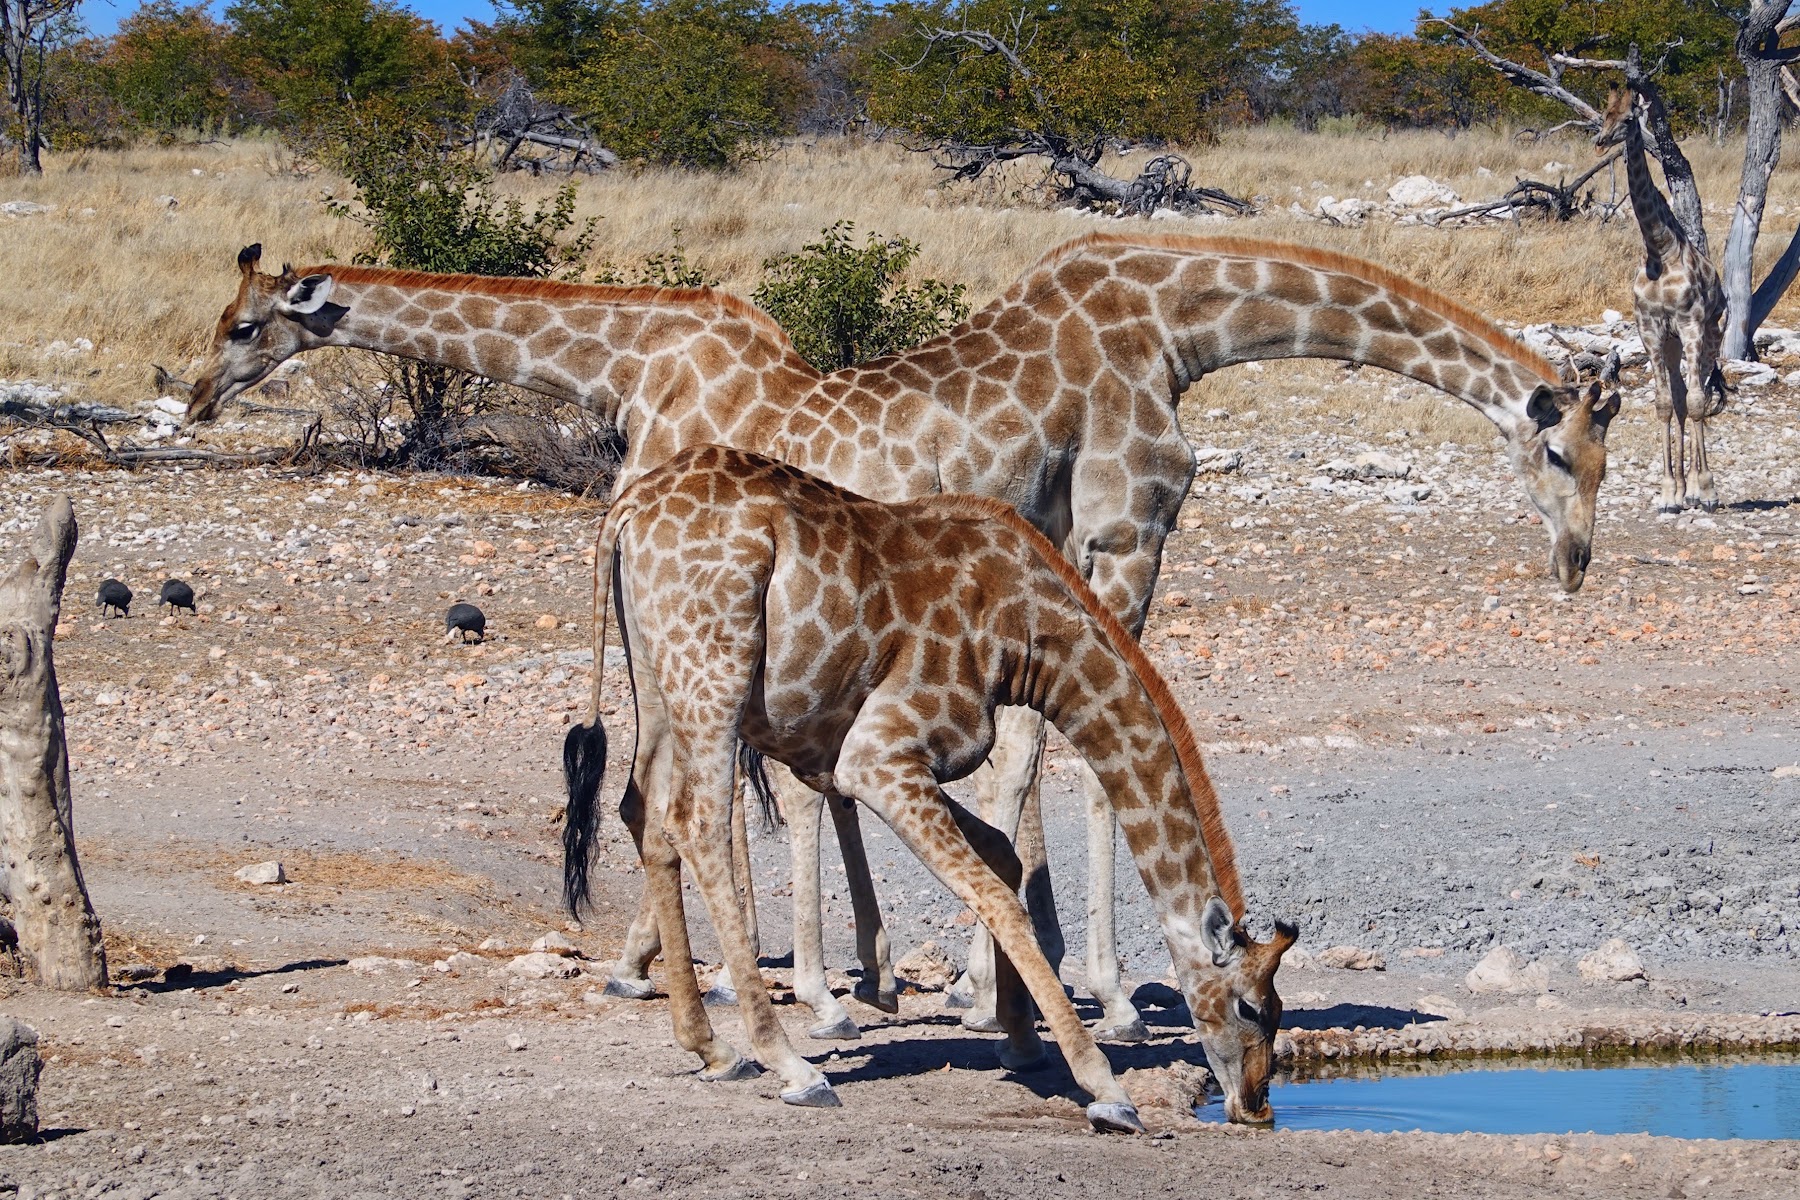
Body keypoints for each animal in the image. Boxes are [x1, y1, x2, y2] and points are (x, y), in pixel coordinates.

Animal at [187, 235, 1618, 1039]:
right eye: (1566, 450)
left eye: (246, 325)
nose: (1579, 563)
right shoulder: (1113, 530)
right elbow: (898, 772)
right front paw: (892, 978)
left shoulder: (1109, 535)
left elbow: (1010, 762)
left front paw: (980, 979)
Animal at [563, 443, 1295, 1131]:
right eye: (1250, 1005)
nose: (1256, 1104)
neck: (1032, 638)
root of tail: (627, 511)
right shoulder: (877, 755)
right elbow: (1001, 897)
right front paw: (1103, 1086)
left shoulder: (890, 762)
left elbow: (1003, 856)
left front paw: (1021, 1041)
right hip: (714, 674)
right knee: (697, 822)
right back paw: (792, 1064)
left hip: (658, 680)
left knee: (644, 812)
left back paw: (712, 1048)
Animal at [1595, 88, 1728, 512]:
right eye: (1604, 114)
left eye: (1629, 119)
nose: (1600, 141)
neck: (1659, 249)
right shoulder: (1651, 329)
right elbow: (1665, 404)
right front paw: (1669, 493)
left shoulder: (1690, 323)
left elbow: (1700, 402)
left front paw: (1707, 490)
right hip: (1672, 345)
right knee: (1683, 398)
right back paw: (1685, 491)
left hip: (1711, 334)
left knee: (1700, 395)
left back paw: (1702, 490)